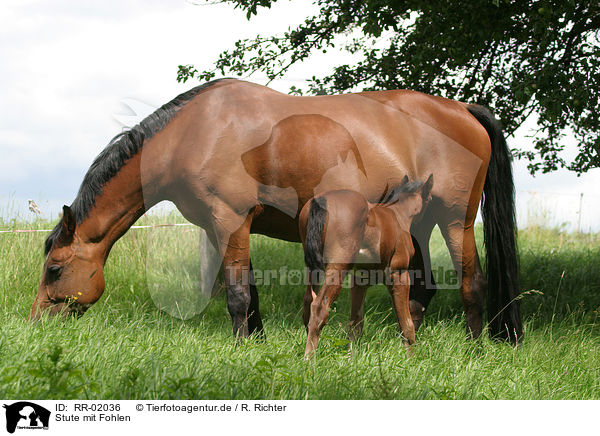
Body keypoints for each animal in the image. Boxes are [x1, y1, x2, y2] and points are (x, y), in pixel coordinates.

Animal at [30, 79, 524, 344]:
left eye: (54, 269)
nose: (35, 324)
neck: (196, 132)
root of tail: (463, 109)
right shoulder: (229, 228)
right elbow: (249, 292)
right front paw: (256, 343)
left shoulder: (229, 220)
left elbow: (236, 294)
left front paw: (239, 347)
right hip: (415, 224)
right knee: (421, 291)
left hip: (455, 220)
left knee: (473, 285)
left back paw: (474, 349)